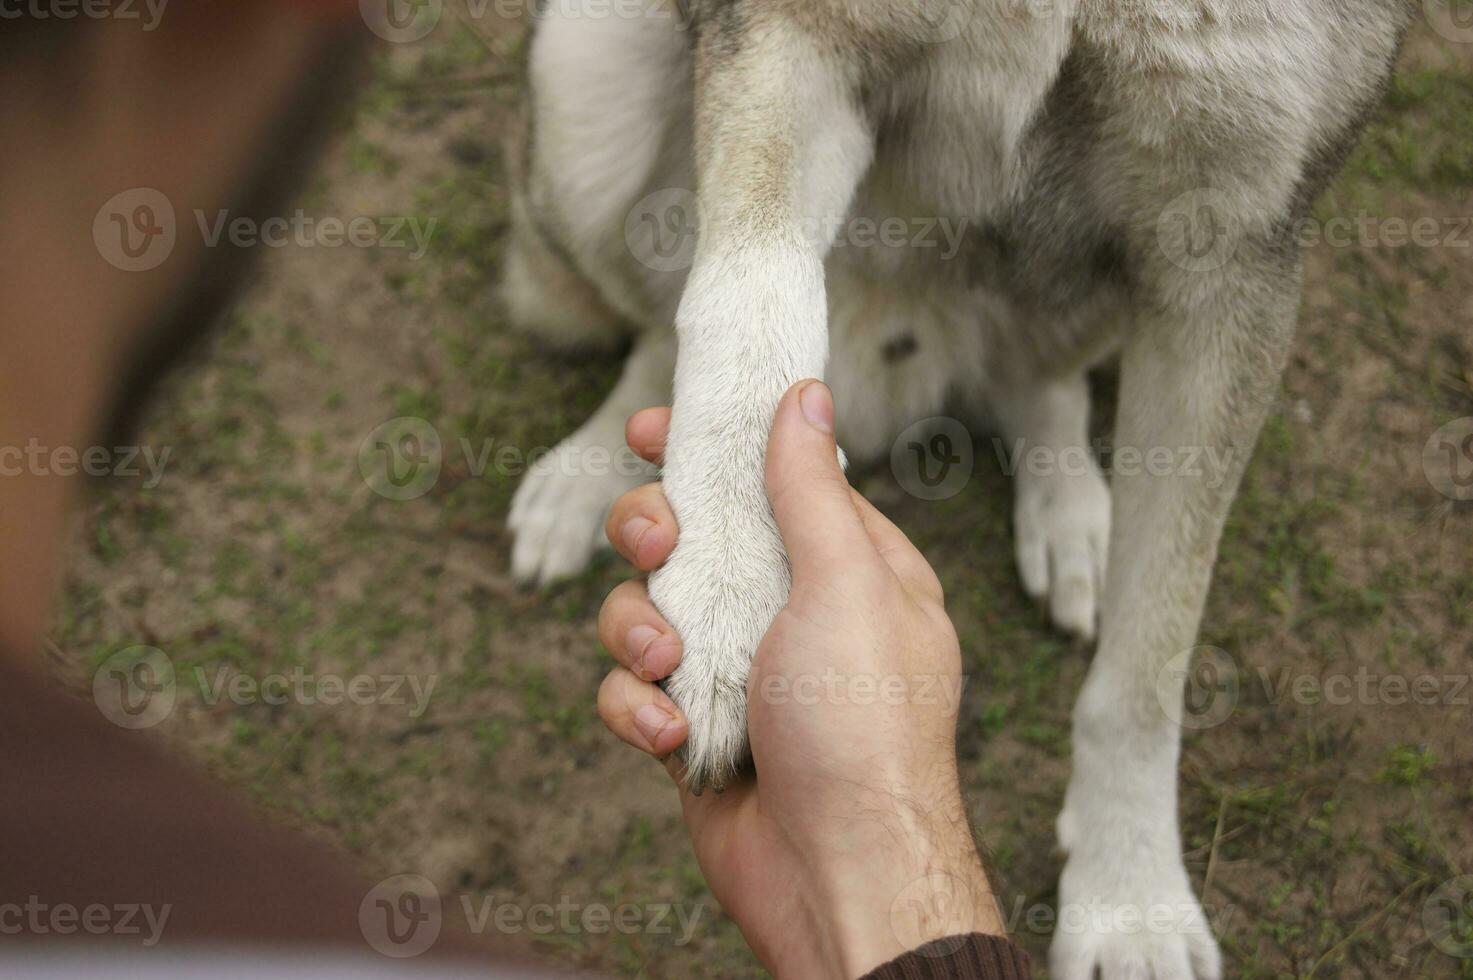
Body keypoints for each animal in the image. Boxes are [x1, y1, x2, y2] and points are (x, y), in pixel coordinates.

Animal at [500, 3, 1408, 972]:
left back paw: (1070, 516)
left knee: (1040, 384)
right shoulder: (794, 46)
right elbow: (746, 307)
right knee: (652, 332)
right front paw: (726, 596)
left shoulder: (1228, 238)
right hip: (582, 78)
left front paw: (1129, 900)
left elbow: (1149, 660)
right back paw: (586, 474)